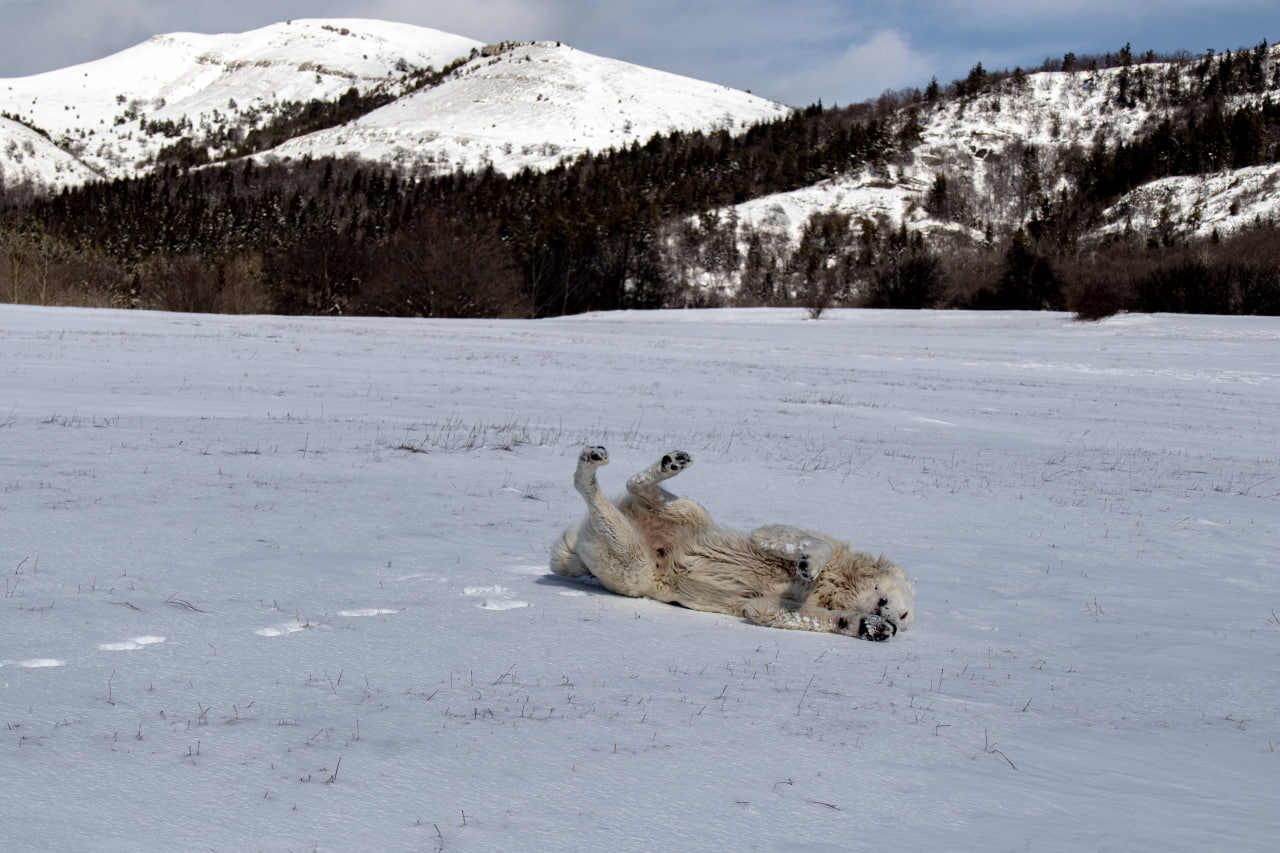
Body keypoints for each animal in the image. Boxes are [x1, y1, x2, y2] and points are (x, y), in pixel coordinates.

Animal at [550, 447, 914, 640]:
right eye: (905, 610)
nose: (895, 625)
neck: (837, 586)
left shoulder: (766, 607)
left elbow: (803, 615)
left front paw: (869, 627)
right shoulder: (772, 535)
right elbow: (812, 546)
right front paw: (808, 564)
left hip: (636, 553)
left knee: (624, 493)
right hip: (670, 529)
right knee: (618, 486)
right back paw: (617, 462)